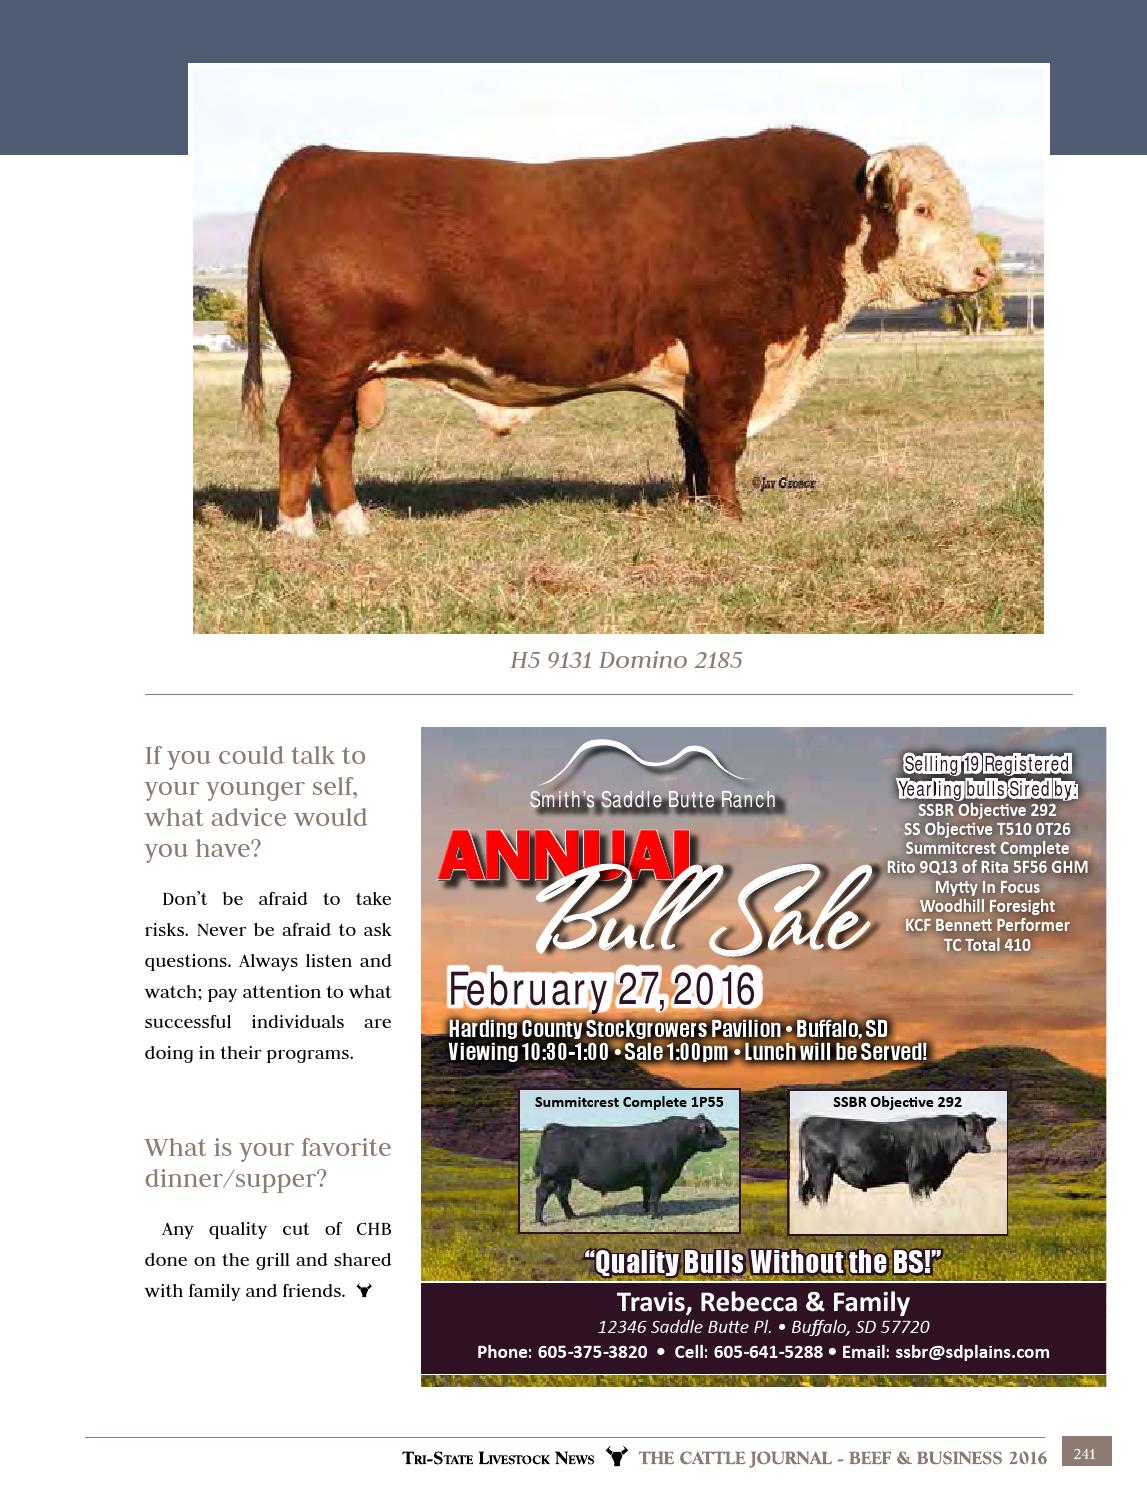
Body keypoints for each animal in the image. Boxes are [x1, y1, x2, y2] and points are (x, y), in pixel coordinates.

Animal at [240, 129, 991, 536]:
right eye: (923, 207)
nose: (984, 269)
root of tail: (324, 158)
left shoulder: (695, 369)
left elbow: (692, 443)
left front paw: (695, 507)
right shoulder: (730, 356)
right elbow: (724, 441)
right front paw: (731, 517)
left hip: (348, 369)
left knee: (335, 439)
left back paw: (353, 525)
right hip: (324, 362)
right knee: (299, 430)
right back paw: (298, 531)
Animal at [534, 1112, 727, 1223]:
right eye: (711, 1128)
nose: (725, 1140)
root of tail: (557, 1127)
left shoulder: (648, 1178)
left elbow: (647, 1196)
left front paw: (646, 1211)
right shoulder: (659, 1175)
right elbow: (655, 1197)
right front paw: (655, 1216)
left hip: (564, 1178)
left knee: (562, 1195)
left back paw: (572, 1216)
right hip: (551, 1175)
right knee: (542, 1194)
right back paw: (540, 1221)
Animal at [797, 1112, 996, 1204]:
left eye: (985, 1129)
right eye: (970, 1130)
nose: (986, 1148)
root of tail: (812, 1119)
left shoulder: (929, 1181)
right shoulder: (917, 1177)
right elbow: (917, 1200)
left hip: (814, 1172)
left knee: (806, 1193)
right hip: (822, 1170)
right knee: (821, 1194)